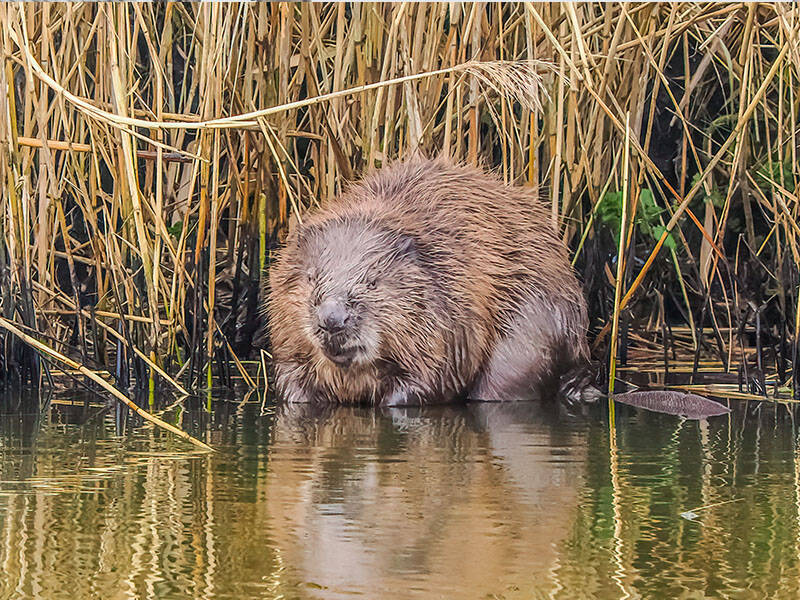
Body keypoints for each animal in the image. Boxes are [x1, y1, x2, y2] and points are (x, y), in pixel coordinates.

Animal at [268, 156, 592, 408]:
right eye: (311, 276)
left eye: (373, 282)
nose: (332, 319)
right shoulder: (287, 343)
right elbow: (290, 380)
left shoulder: (451, 315)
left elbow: (431, 378)